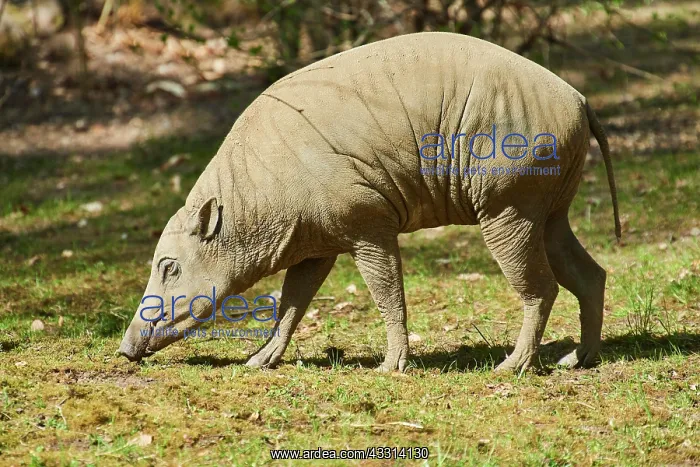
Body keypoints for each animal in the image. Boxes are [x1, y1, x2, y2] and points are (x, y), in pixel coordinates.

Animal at [118, 32, 621, 373]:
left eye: (169, 267)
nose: (124, 348)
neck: (255, 198)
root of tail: (579, 98)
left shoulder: (367, 226)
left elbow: (387, 294)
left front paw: (391, 367)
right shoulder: (317, 244)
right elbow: (292, 303)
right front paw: (259, 360)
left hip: (507, 207)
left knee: (542, 287)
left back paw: (513, 365)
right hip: (548, 211)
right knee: (590, 274)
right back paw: (578, 358)